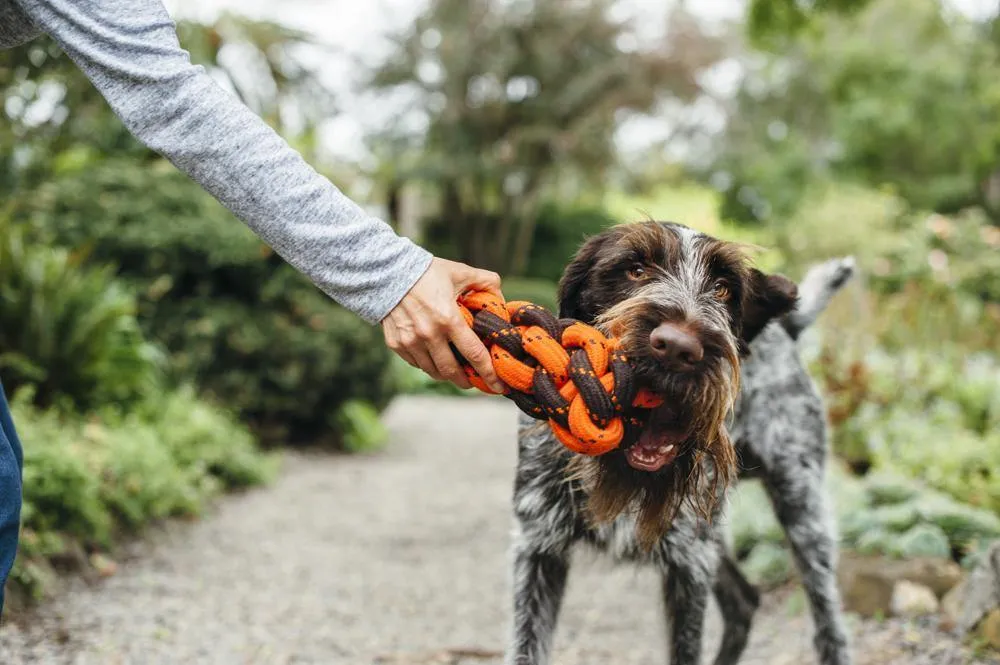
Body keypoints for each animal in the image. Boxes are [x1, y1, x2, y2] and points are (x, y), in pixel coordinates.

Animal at [504, 222, 856, 664]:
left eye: (723, 288)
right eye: (635, 270)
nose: (677, 347)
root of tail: (783, 332)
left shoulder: (688, 565)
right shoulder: (539, 547)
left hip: (801, 511)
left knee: (828, 627)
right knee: (744, 601)